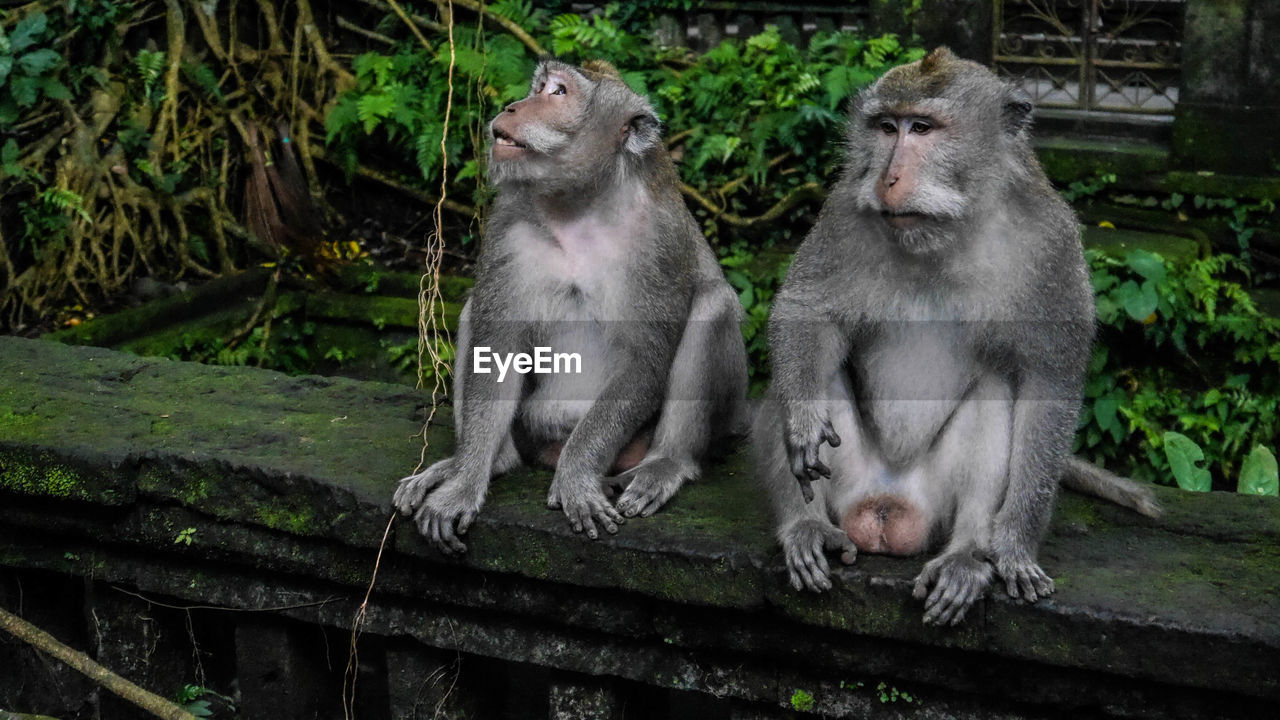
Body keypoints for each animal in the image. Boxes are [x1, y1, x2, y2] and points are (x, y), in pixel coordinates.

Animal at [391, 58, 747, 550]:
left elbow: (646, 360)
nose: (512, 106)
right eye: (538, 87)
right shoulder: (508, 226)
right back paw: (483, 463)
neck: (579, 205)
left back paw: (665, 464)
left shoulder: (658, 239)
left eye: (558, 92)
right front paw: (461, 486)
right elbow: (496, 347)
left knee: (714, 303)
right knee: (474, 311)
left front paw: (577, 476)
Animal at [752, 47, 1167, 622]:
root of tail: (886, 508)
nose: (887, 179)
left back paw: (968, 555)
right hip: (850, 480)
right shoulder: (844, 209)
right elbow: (806, 311)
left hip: (935, 504)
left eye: (923, 128)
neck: (945, 230)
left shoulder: (1052, 242)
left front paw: (1013, 547)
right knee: (801, 378)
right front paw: (803, 423)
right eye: (886, 127)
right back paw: (806, 526)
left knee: (995, 393)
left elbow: (1047, 382)